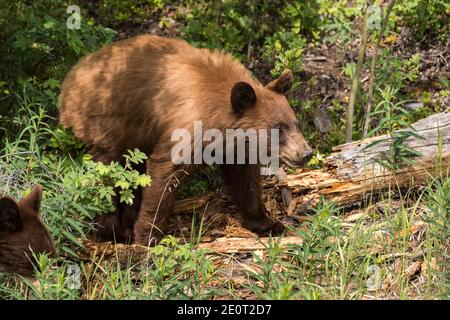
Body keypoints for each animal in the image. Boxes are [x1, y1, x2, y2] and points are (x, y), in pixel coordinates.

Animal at [59, 35, 312, 245]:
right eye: (278, 129)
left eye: (295, 123)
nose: (306, 153)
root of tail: (71, 79)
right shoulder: (186, 130)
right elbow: (164, 175)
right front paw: (147, 236)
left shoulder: (236, 147)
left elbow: (245, 181)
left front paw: (267, 223)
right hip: (107, 126)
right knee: (107, 176)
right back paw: (113, 231)